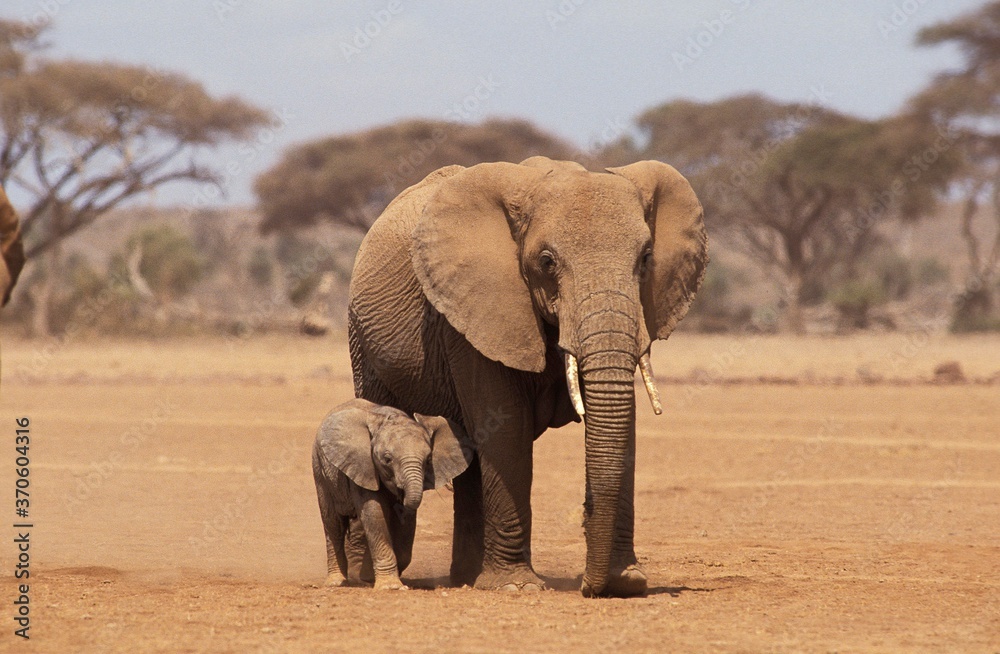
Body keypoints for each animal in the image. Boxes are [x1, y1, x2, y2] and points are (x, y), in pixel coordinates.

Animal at [312, 398, 471, 590]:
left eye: (428, 460)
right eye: (387, 459)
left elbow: (405, 519)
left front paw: (374, 577)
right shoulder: (364, 466)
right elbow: (374, 513)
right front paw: (390, 586)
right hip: (319, 469)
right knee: (333, 523)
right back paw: (336, 582)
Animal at [347, 157, 707, 596]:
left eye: (645, 258)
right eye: (547, 262)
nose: (589, 586)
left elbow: (624, 424)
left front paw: (627, 582)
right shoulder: (472, 310)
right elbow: (506, 427)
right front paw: (515, 586)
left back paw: (466, 578)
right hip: (363, 338)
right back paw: (368, 576)